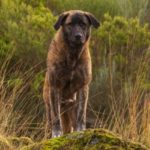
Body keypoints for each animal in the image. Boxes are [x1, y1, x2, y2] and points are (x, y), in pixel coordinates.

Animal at [43, 9, 99, 138]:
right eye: (70, 24)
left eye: (83, 24)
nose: (78, 36)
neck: (73, 55)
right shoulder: (55, 87)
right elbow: (56, 118)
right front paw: (57, 134)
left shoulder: (82, 87)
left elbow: (81, 116)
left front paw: (81, 130)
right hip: (49, 109)